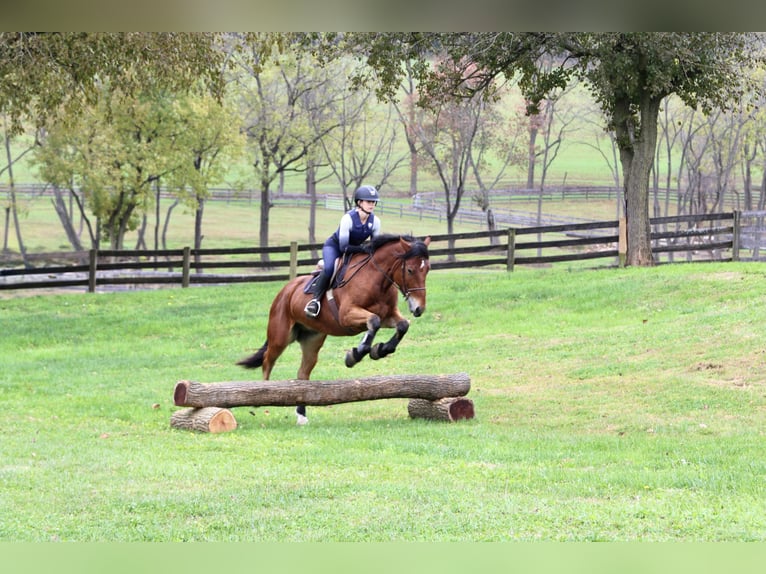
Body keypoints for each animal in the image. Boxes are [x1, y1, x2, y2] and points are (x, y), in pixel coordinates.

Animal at [237, 234, 431, 424]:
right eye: (410, 270)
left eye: (427, 269)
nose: (419, 309)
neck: (376, 279)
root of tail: (285, 290)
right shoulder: (347, 315)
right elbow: (373, 322)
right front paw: (355, 355)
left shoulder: (388, 316)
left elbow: (402, 325)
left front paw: (379, 350)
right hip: (280, 336)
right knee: (267, 360)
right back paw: (262, 395)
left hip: (312, 339)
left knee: (303, 373)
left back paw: (301, 415)